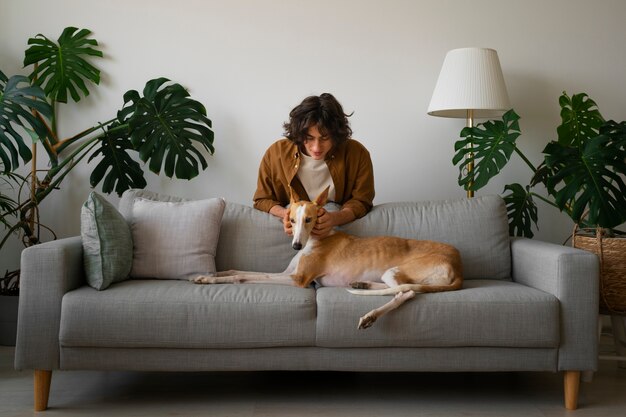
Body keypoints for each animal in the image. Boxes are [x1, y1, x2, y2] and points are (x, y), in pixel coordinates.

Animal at [193, 186, 460, 328]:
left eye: (309, 220)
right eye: (292, 220)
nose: (296, 246)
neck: (315, 239)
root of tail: (458, 266)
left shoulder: (298, 279)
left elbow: (243, 277)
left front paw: (211, 279)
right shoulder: (288, 273)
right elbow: (239, 270)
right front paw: (210, 273)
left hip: (397, 270)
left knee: (406, 292)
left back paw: (371, 315)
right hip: (391, 273)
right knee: (398, 289)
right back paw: (361, 284)